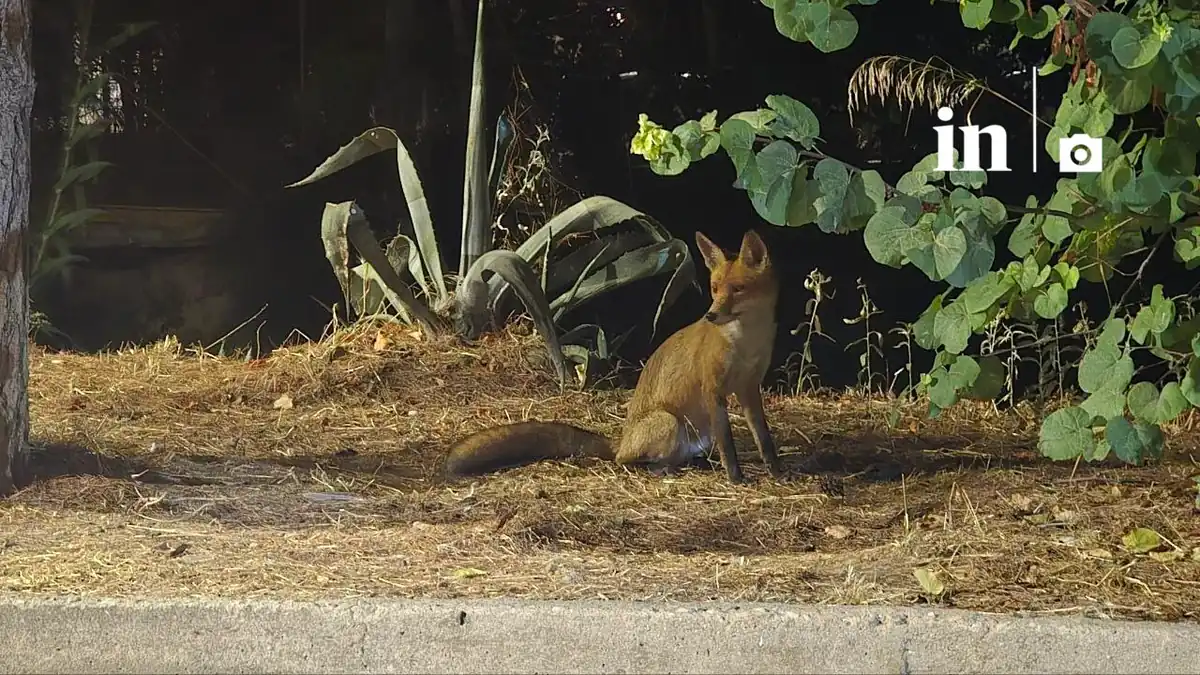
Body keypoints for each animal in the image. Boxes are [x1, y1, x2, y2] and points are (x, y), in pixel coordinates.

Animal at [442, 228, 785, 484]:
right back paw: (662, 469)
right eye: (715, 288)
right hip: (670, 422)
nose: (711, 315)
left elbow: (764, 437)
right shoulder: (713, 390)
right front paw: (736, 478)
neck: (745, 343)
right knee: (631, 462)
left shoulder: (749, 388)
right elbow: (728, 444)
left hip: (694, 433)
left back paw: (696, 464)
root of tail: (621, 440)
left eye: (738, 289)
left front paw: (776, 471)